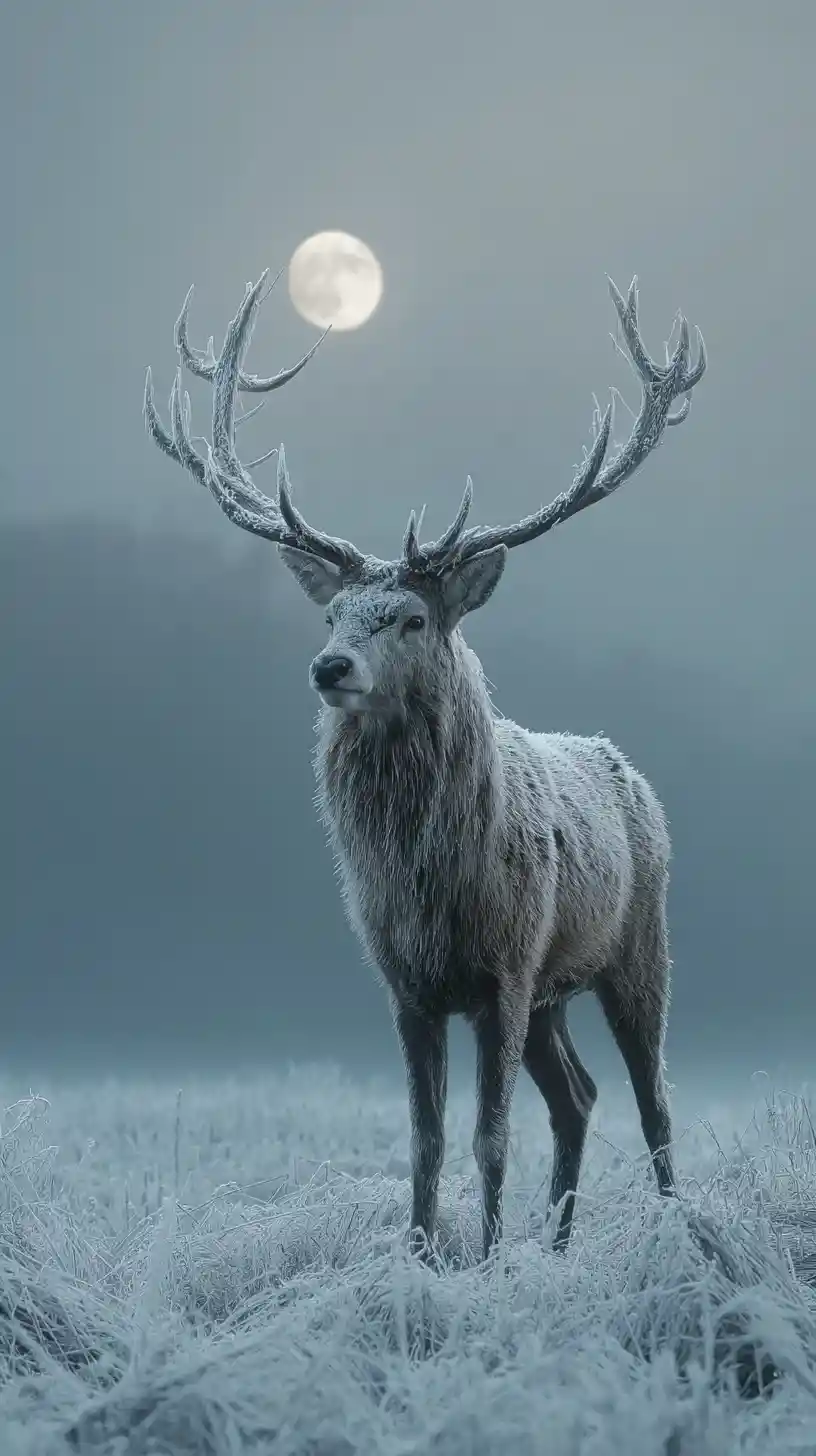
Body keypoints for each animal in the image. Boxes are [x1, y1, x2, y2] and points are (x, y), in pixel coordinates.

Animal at [144, 268, 706, 1261]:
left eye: (409, 616)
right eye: (333, 615)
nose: (330, 667)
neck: (426, 884)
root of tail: (632, 775)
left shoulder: (506, 969)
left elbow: (489, 1136)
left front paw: (483, 1259)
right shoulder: (408, 985)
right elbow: (425, 1138)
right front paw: (420, 1256)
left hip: (639, 946)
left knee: (653, 1102)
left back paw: (674, 1231)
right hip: (556, 994)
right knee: (579, 1096)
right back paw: (559, 1245)